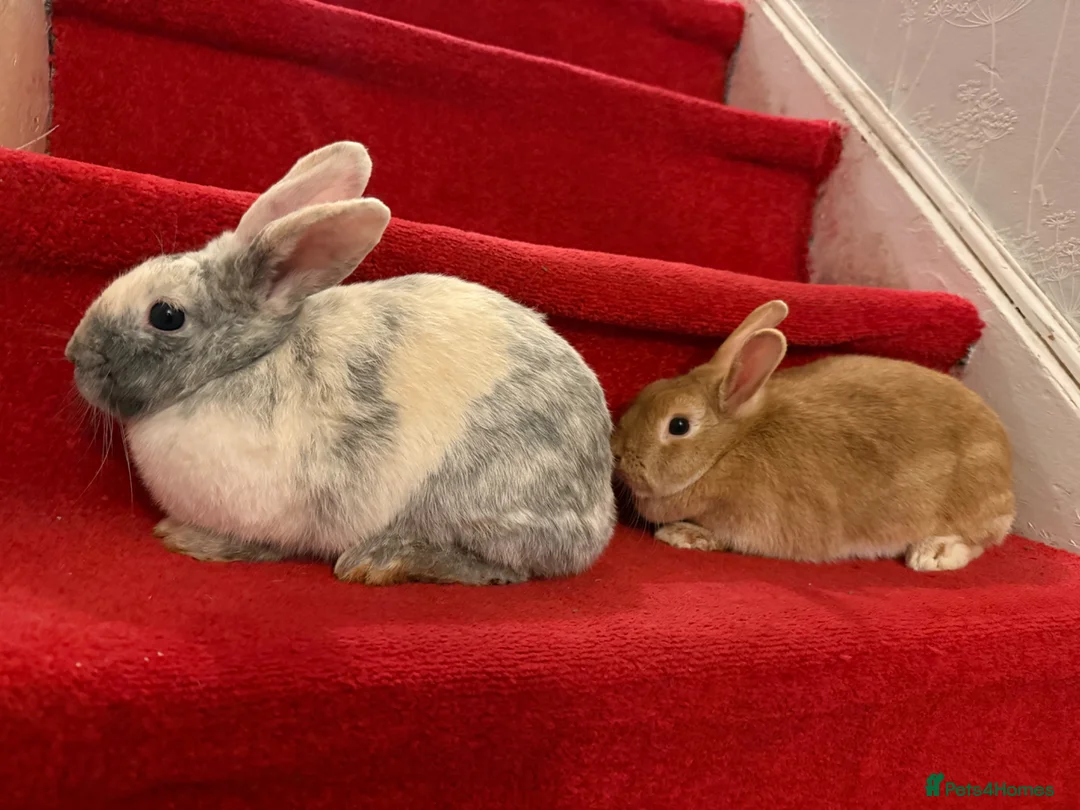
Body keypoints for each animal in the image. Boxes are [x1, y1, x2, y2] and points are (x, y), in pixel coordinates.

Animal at [64, 141, 616, 586]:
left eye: (166, 315)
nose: (75, 356)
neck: (240, 365)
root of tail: (598, 516)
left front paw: (186, 539)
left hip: (480, 501)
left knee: (503, 568)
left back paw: (381, 561)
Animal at [610, 299, 1015, 572]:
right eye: (650, 389)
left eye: (678, 426)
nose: (616, 451)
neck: (726, 450)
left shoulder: (750, 523)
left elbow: (723, 538)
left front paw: (681, 534)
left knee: (979, 540)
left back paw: (931, 555)